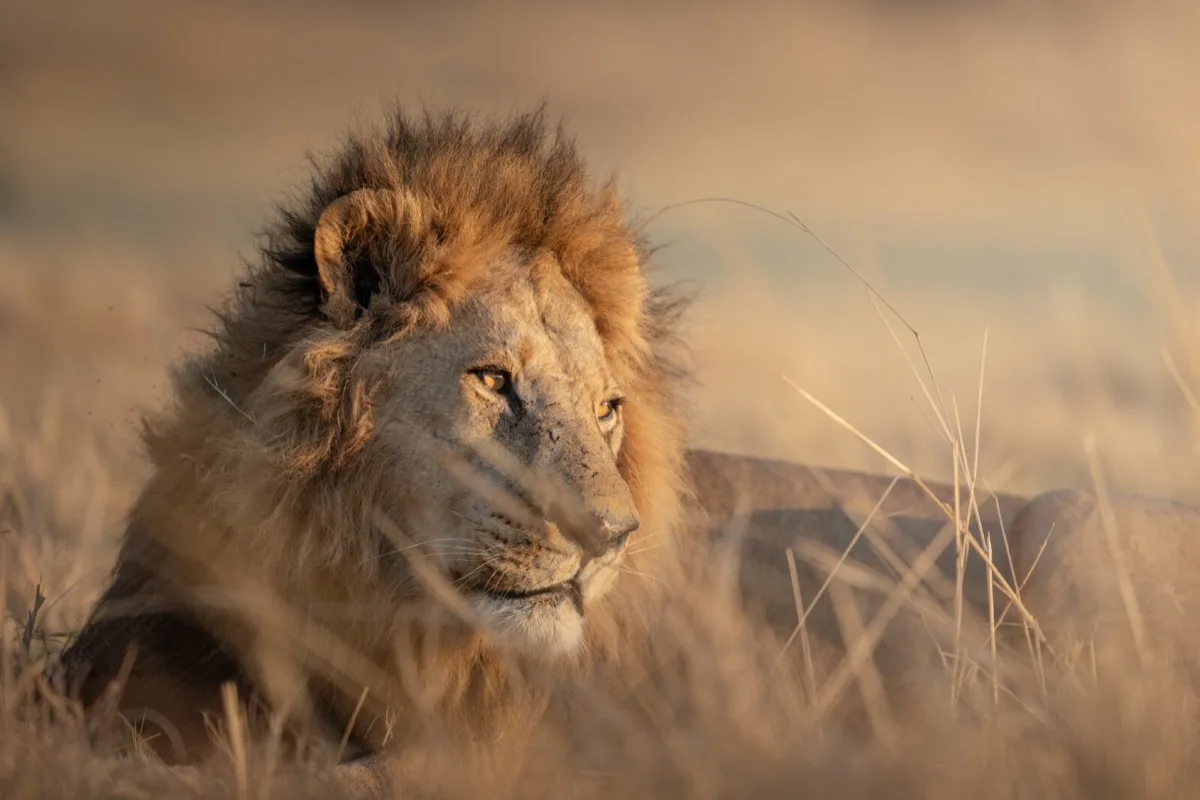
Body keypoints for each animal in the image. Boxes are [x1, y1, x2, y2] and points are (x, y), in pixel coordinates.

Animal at [58, 105, 1200, 794]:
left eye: (606, 407)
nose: (610, 538)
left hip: (1069, 522)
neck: (365, 590)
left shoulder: (509, 750)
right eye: (493, 380)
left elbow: (352, 776)